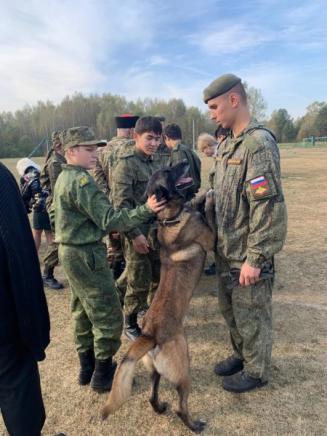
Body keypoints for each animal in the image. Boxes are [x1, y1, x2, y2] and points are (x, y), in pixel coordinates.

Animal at [101, 161, 217, 432]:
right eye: (169, 171)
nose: (184, 162)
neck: (169, 218)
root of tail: (150, 335)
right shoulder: (210, 239)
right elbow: (209, 215)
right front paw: (208, 198)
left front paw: (200, 198)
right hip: (184, 368)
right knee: (181, 406)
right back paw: (195, 425)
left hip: (155, 371)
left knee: (152, 396)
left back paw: (160, 407)